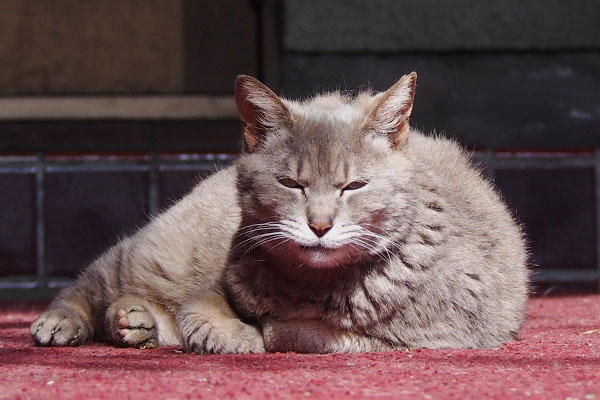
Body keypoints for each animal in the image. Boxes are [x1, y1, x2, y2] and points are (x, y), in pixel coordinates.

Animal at [30, 72, 528, 354]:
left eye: (354, 186)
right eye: (291, 184)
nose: (320, 225)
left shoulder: (444, 331)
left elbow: (310, 335)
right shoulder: (222, 279)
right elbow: (208, 308)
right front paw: (229, 333)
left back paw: (133, 323)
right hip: (154, 255)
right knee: (92, 283)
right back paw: (65, 322)